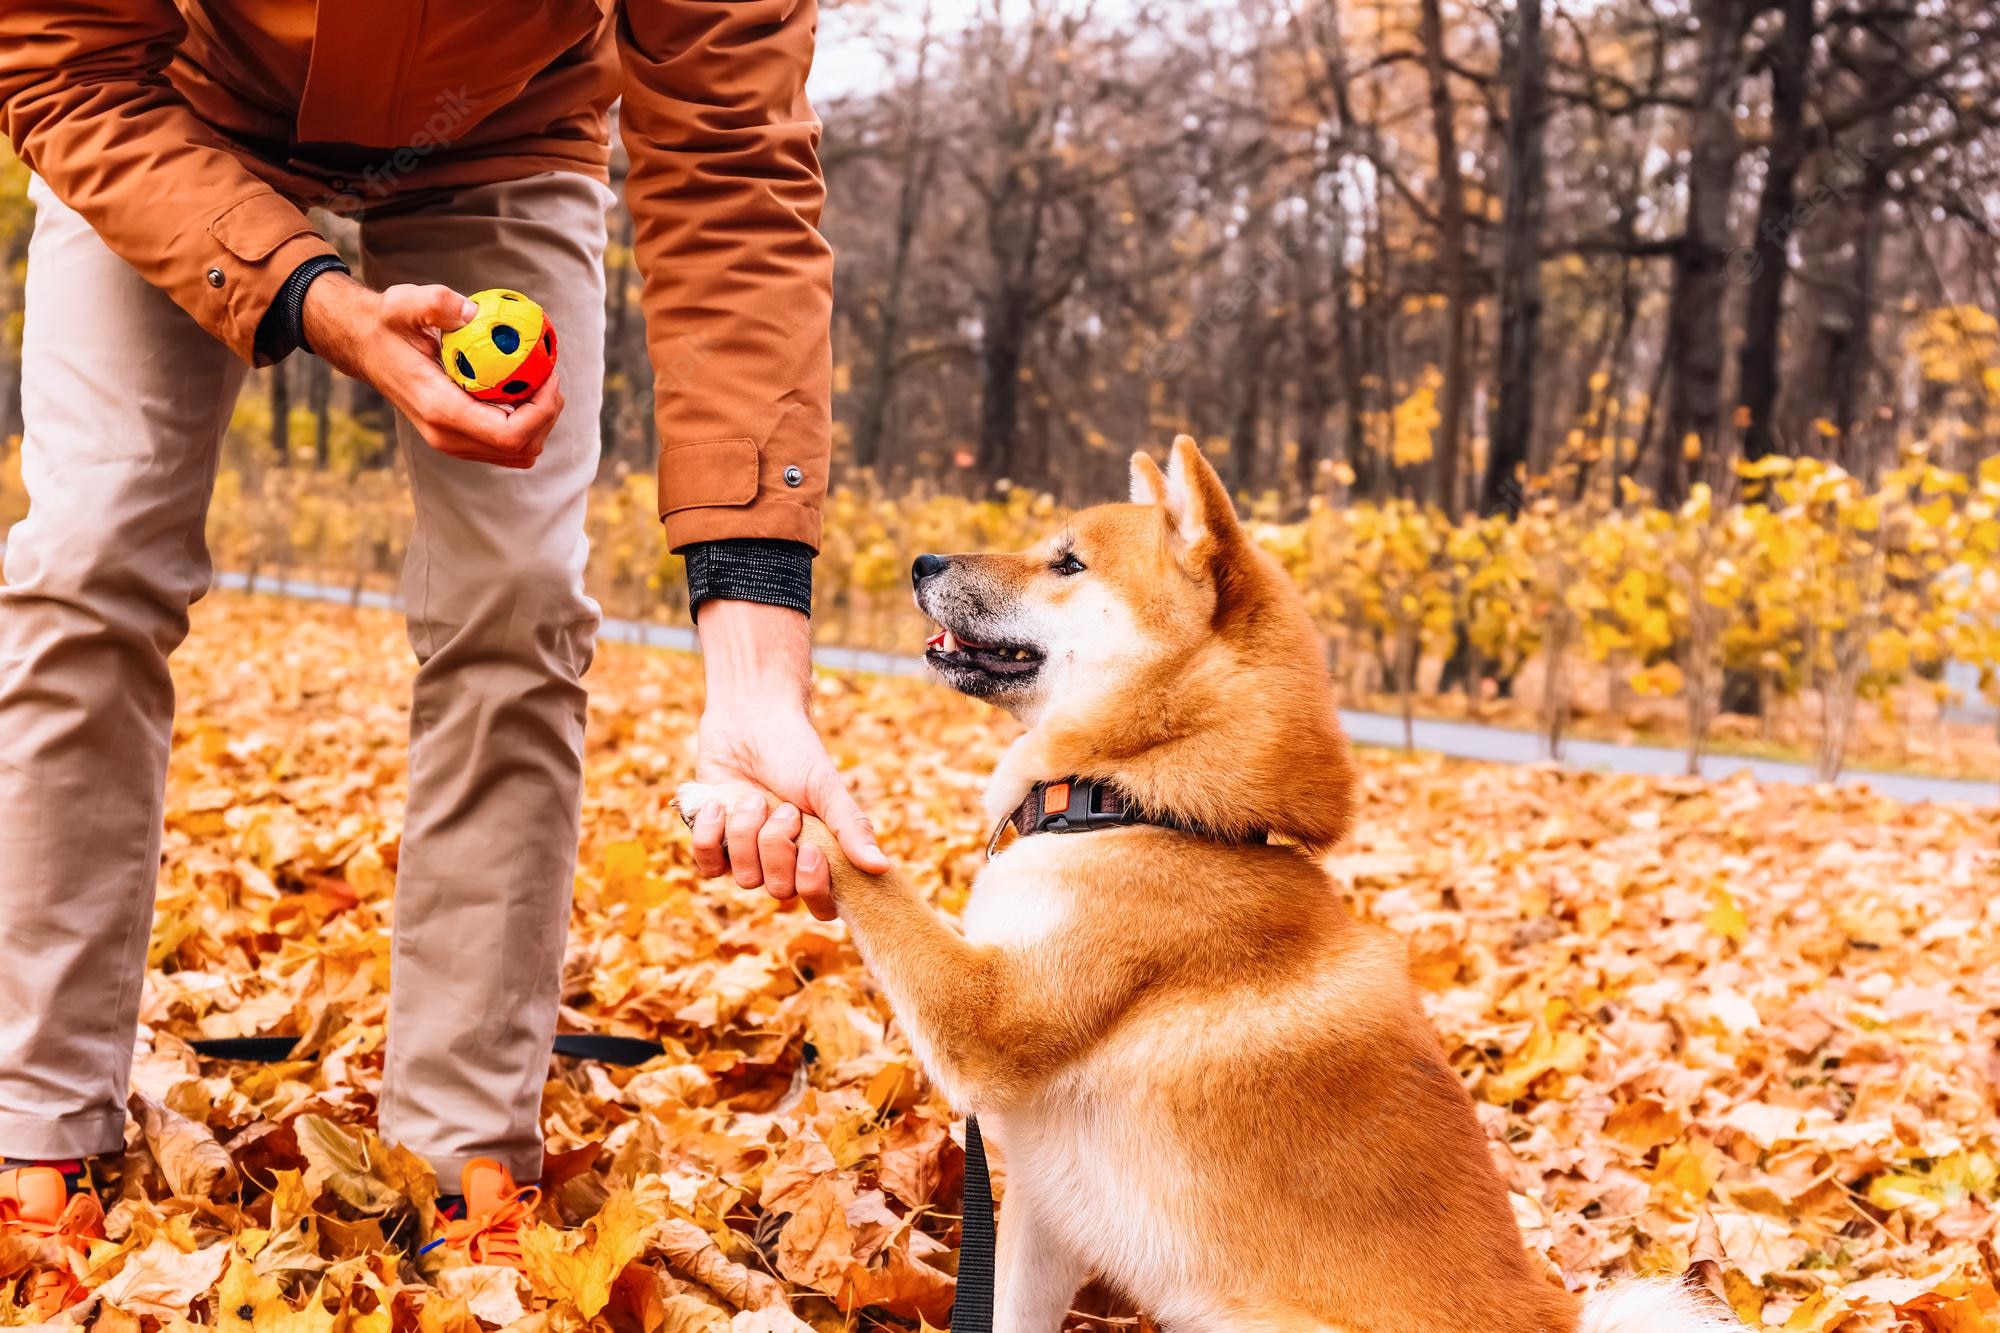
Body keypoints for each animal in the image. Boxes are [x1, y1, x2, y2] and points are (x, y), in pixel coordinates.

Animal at [676, 430, 1736, 1320]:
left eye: (1067, 562)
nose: (923, 563)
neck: (1149, 806)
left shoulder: (984, 1015)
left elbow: (874, 872)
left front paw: (759, 802)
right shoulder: (1046, 1215)